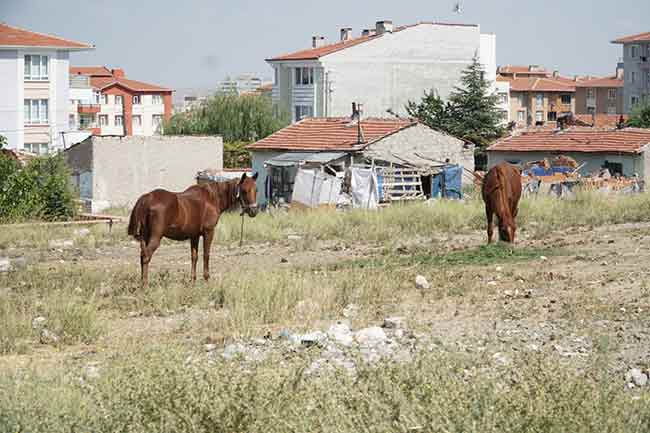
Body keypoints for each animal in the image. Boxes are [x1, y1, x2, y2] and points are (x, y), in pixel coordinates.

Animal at [128, 172, 256, 286]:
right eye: (244, 191)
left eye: (256, 190)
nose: (254, 211)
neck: (212, 198)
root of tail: (148, 198)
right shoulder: (209, 232)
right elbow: (206, 255)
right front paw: (206, 279)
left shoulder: (194, 235)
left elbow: (194, 256)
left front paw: (193, 280)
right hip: (155, 237)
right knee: (146, 256)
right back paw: (145, 285)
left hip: (145, 237)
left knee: (142, 256)